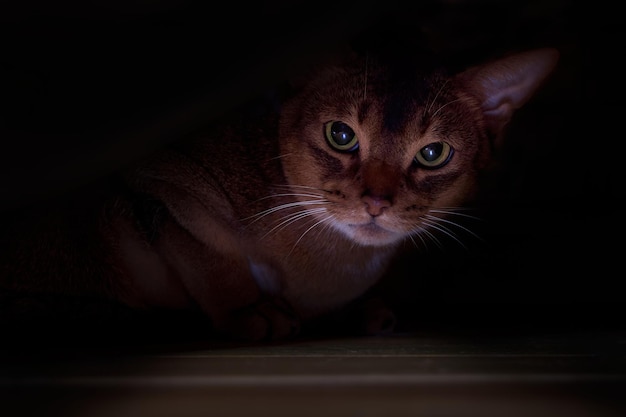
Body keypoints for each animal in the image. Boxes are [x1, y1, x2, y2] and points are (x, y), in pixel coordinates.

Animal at [0, 34, 556, 342]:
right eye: (340, 135)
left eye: (433, 153)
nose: (376, 203)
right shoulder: (158, 181)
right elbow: (208, 251)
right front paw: (251, 311)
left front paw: (357, 312)